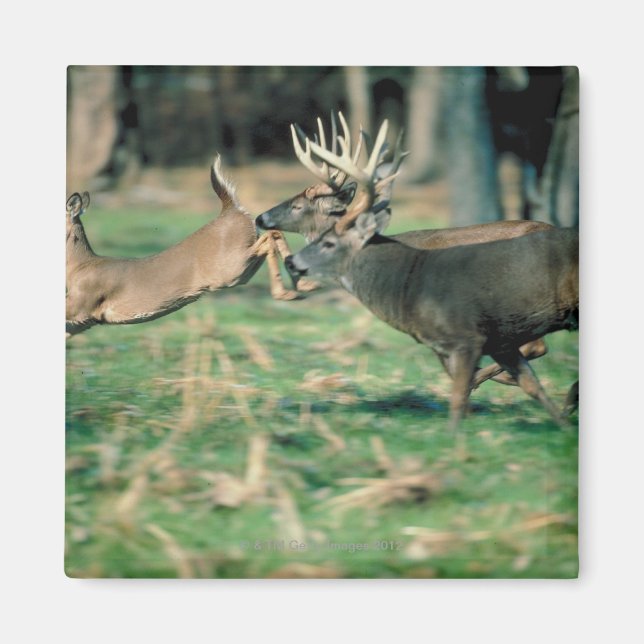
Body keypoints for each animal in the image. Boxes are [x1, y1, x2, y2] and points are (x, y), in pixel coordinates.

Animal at [66, 154, 301, 337]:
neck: (81, 265)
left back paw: (289, 291)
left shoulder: (81, 306)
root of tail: (231, 209)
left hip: (230, 269)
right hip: (239, 270)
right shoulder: (84, 322)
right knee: (272, 235)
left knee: (269, 237)